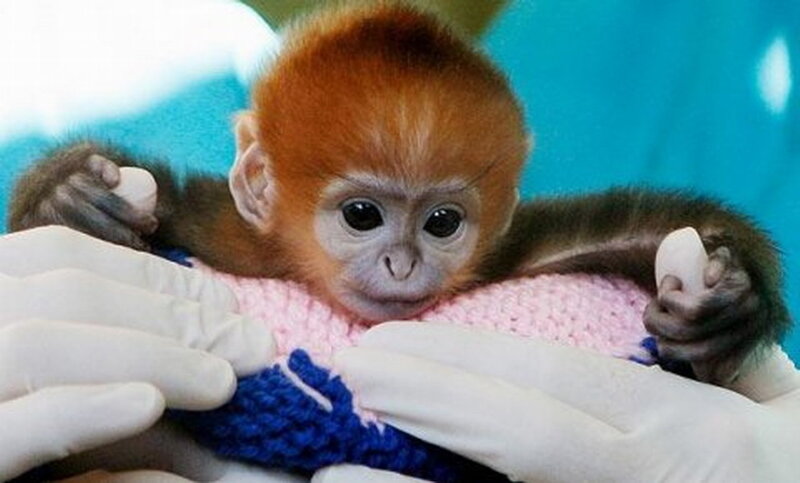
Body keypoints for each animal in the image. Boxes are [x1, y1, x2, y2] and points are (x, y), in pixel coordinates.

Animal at [7, 1, 790, 385]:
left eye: (442, 222)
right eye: (363, 215)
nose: (402, 264)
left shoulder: (513, 254)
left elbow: (614, 229)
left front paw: (733, 305)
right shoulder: (225, 231)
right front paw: (68, 197)